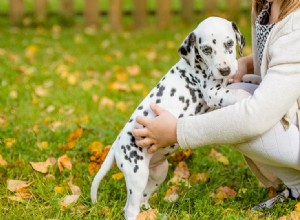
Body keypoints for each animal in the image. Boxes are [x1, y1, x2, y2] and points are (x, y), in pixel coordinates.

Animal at [91, 16, 251, 219]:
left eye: (229, 43)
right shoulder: (214, 93)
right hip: (137, 174)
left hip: (158, 172)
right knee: (129, 208)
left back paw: (152, 213)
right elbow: (238, 93)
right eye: (206, 49)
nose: (224, 70)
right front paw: (250, 96)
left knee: (144, 198)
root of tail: (116, 145)